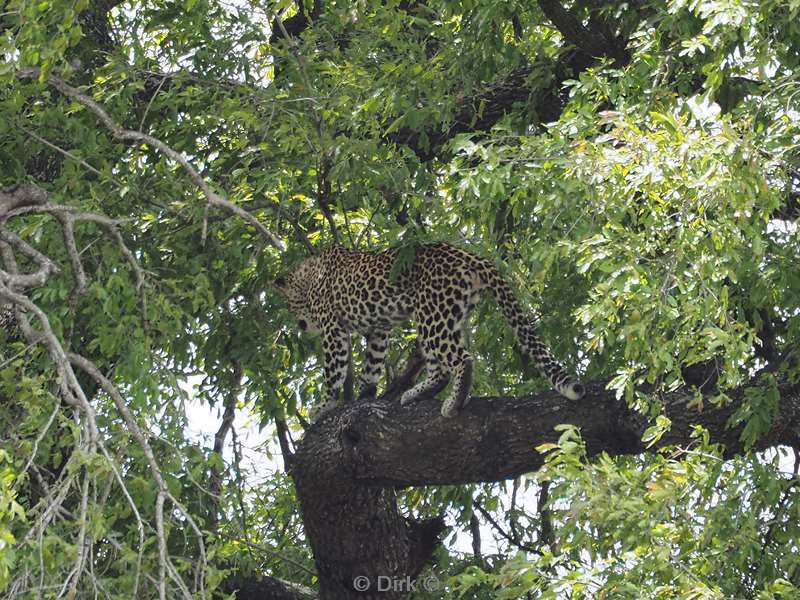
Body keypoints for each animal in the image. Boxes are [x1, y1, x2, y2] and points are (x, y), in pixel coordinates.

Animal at [278, 243, 584, 422]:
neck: (310, 277)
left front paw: (325, 406)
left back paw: (453, 403)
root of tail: (472, 257)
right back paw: (416, 394)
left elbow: (334, 370)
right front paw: (366, 395)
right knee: (441, 369)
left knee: (462, 360)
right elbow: (372, 365)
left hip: (432, 315)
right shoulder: (379, 329)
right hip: (445, 315)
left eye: (289, 307)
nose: (299, 325)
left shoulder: (333, 329)